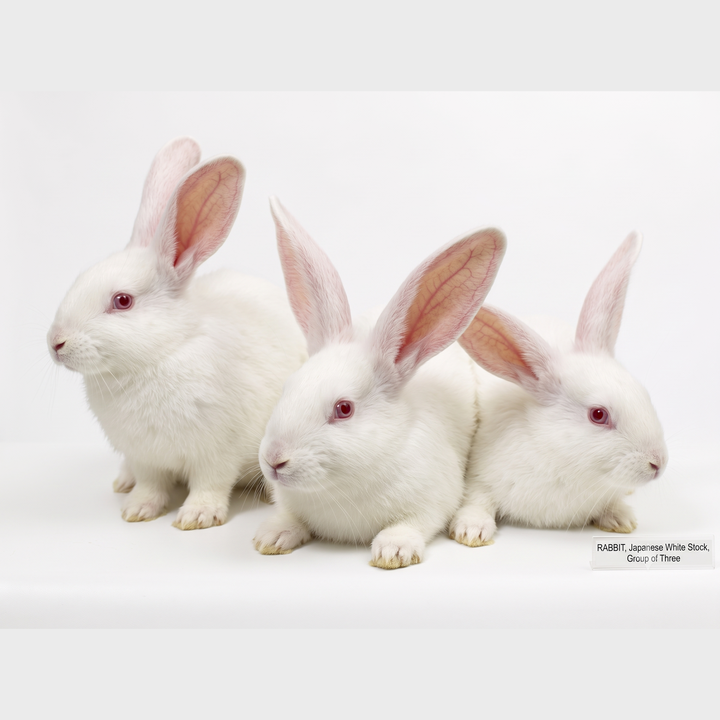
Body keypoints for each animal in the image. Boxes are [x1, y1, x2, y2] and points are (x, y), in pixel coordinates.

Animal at [47, 138, 307, 530]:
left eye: (122, 301)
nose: (55, 342)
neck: (160, 356)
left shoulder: (217, 451)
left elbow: (210, 483)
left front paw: (197, 517)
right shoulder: (144, 457)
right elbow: (150, 485)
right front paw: (137, 511)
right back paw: (123, 483)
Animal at [252, 197, 507, 568]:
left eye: (344, 409)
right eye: (287, 388)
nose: (274, 460)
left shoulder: (431, 501)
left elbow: (410, 524)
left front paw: (393, 550)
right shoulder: (289, 502)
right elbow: (289, 517)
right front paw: (271, 537)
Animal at [449, 232, 668, 547]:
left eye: (645, 394)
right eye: (598, 414)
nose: (658, 463)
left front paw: (621, 518)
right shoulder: (480, 477)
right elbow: (477, 500)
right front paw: (471, 530)